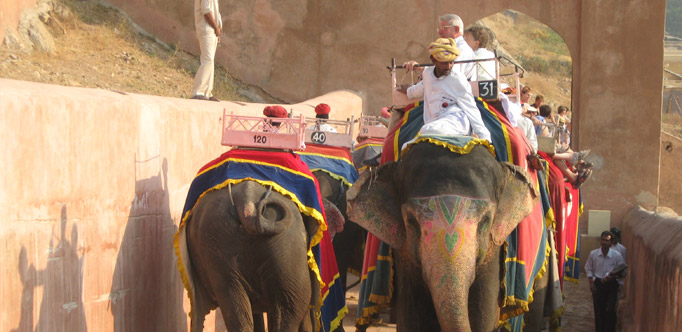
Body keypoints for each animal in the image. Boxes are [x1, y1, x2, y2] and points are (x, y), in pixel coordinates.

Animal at [346, 136, 536, 330]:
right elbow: (412, 315)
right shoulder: (403, 251)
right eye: (411, 221)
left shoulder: (493, 248)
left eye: (486, 220)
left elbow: (483, 314)